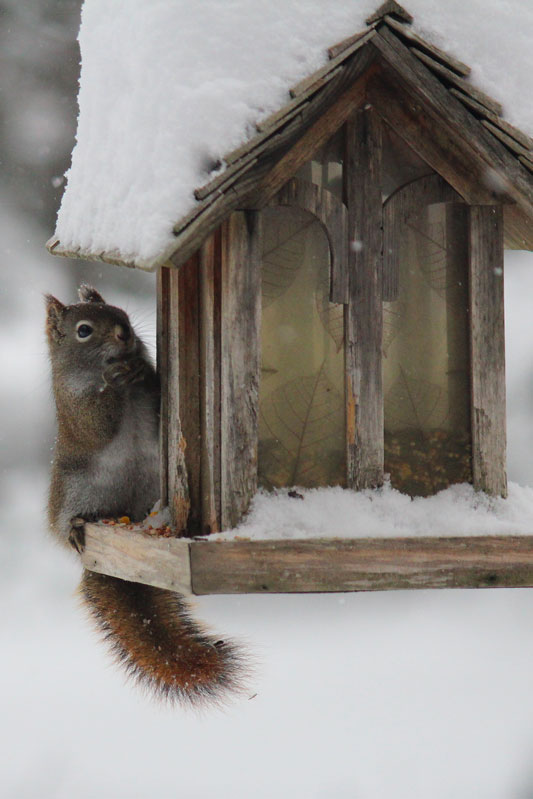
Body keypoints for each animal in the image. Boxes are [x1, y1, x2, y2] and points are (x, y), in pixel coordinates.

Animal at [45, 286, 245, 708]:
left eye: (120, 312)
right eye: (84, 330)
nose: (125, 334)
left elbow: (157, 400)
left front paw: (143, 369)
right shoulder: (76, 410)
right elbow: (98, 419)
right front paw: (116, 378)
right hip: (73, 491)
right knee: (68, 523)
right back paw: (75, 527)